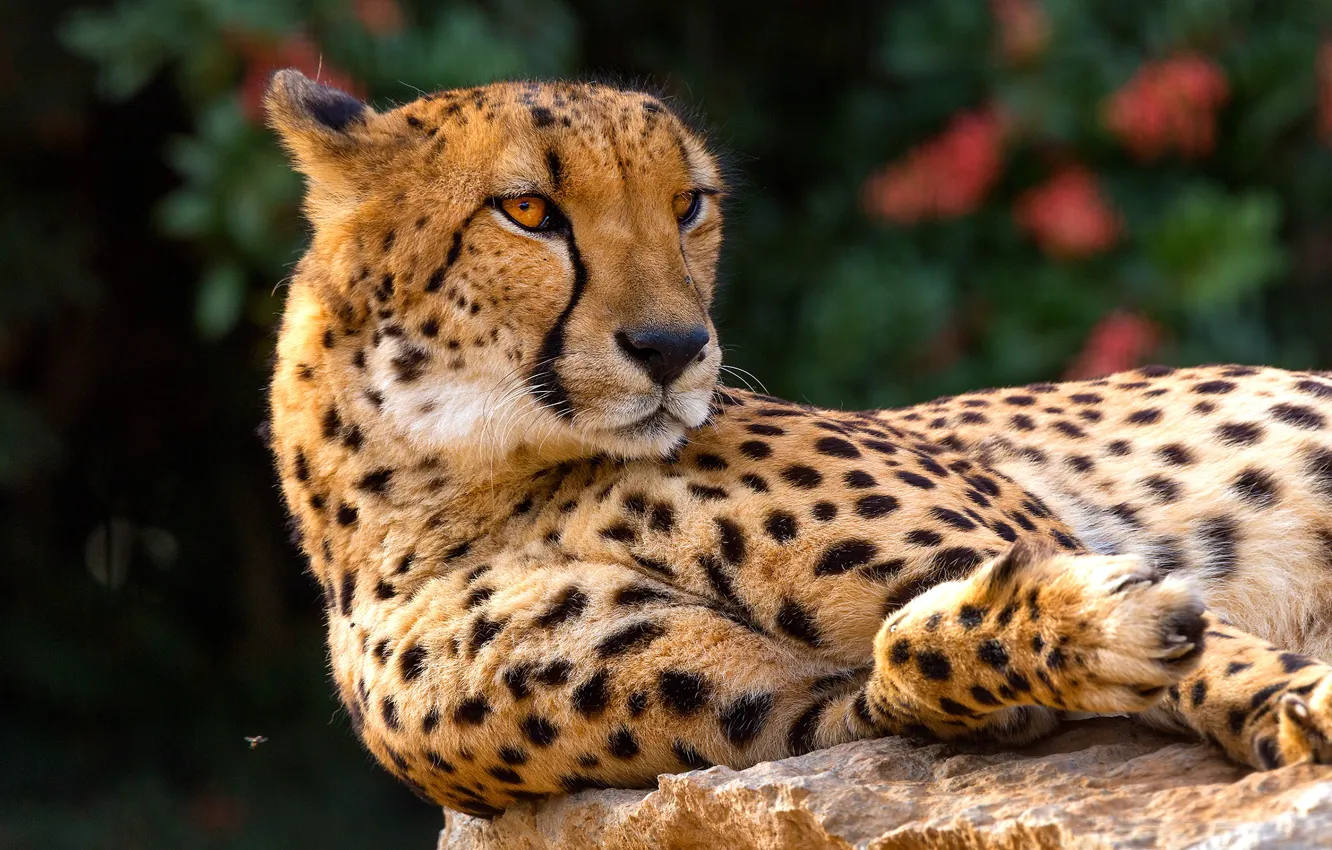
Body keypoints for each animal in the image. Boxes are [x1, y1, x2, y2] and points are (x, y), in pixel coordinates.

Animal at [264, 68, 1332, 818]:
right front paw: (1107, 628)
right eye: (527, 210)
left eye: (689, 204)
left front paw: (1290, 696)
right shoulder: (790, 722)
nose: (675, 347)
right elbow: (908, 664)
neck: (461, 484)